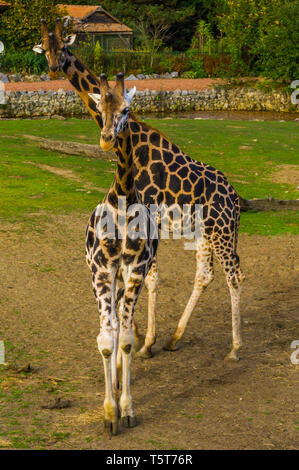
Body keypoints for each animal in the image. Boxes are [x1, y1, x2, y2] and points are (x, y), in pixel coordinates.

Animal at [90, 80, 247, 360]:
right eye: (99, 107)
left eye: (125, 109)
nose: (106, 139)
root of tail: (234, 198)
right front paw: (139, 336)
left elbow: (148, 279)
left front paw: (143, 341)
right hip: (206, 234)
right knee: (205, 274)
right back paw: (174, 339)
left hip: (222, 232)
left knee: (234, 276)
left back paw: (234, 348)